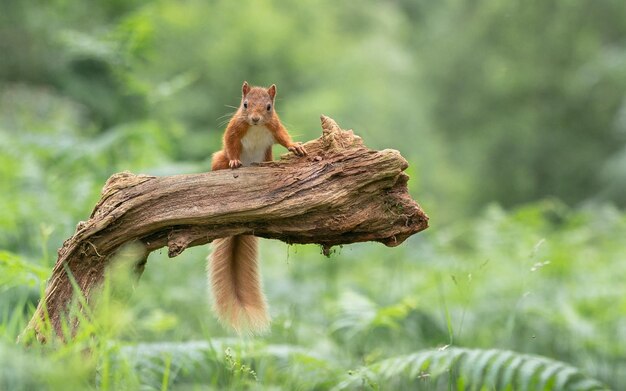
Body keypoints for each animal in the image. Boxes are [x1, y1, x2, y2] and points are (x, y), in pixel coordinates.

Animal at [210, 81, 304, 336]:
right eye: (245, 104)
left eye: (269, 107)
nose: (254, 118)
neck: (256, 128)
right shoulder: (234, 128)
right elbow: (230, 142)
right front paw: (234, 161)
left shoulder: (275, 126)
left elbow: (284, 137)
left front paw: (296, 146)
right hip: (217, 158)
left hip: (267, 156)